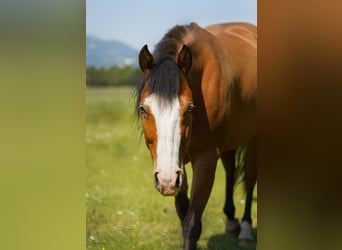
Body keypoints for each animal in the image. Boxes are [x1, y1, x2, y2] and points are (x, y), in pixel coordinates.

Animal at [135, 22, 255, 249]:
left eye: (189, 108)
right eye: (143, 109)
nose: (165, 180)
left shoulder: (206, 159)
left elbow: (191, 223)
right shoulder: (179, 165)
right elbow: (183, 213)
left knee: (250, 178)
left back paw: (245, 228)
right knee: (230, 170)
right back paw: (231, 220)